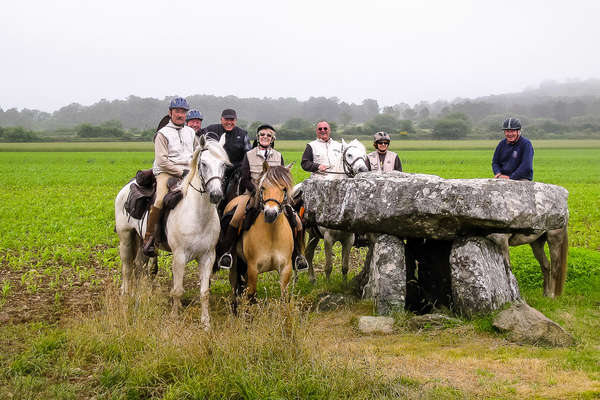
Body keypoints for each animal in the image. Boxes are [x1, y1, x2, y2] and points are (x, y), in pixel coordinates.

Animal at [114, 138, 230, 328]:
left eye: (224, 165)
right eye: (203, 164)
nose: (216, 195)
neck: (198, 216)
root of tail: (128, 186)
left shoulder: (208, 256)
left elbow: (204, 292)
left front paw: (206, 323)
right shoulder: (179, 256)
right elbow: (177, 290)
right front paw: (175, 317)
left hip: (142, 241)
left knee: (139, 265)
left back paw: (140, 294)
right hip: (125, 237)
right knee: (127, 267)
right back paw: (126, 294)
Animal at [223, 162, 296, 310]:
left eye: (284, 189)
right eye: (263, 187)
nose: (270, 214)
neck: (272, 234)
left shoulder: (286, 268)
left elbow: (284, 297)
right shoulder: (253, 268)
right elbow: (251, 296)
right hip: (234, 261)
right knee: (234, 283)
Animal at [298, 139, 368, 282]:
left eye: (364, 155)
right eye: (349, 155)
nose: (363, 169)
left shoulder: (348, 239)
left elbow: (345, 266)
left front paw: (344, 284)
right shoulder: (328, 239)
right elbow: (328, 266)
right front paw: (328, 284)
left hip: (313, 235)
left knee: (309, 253)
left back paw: (312, 279)